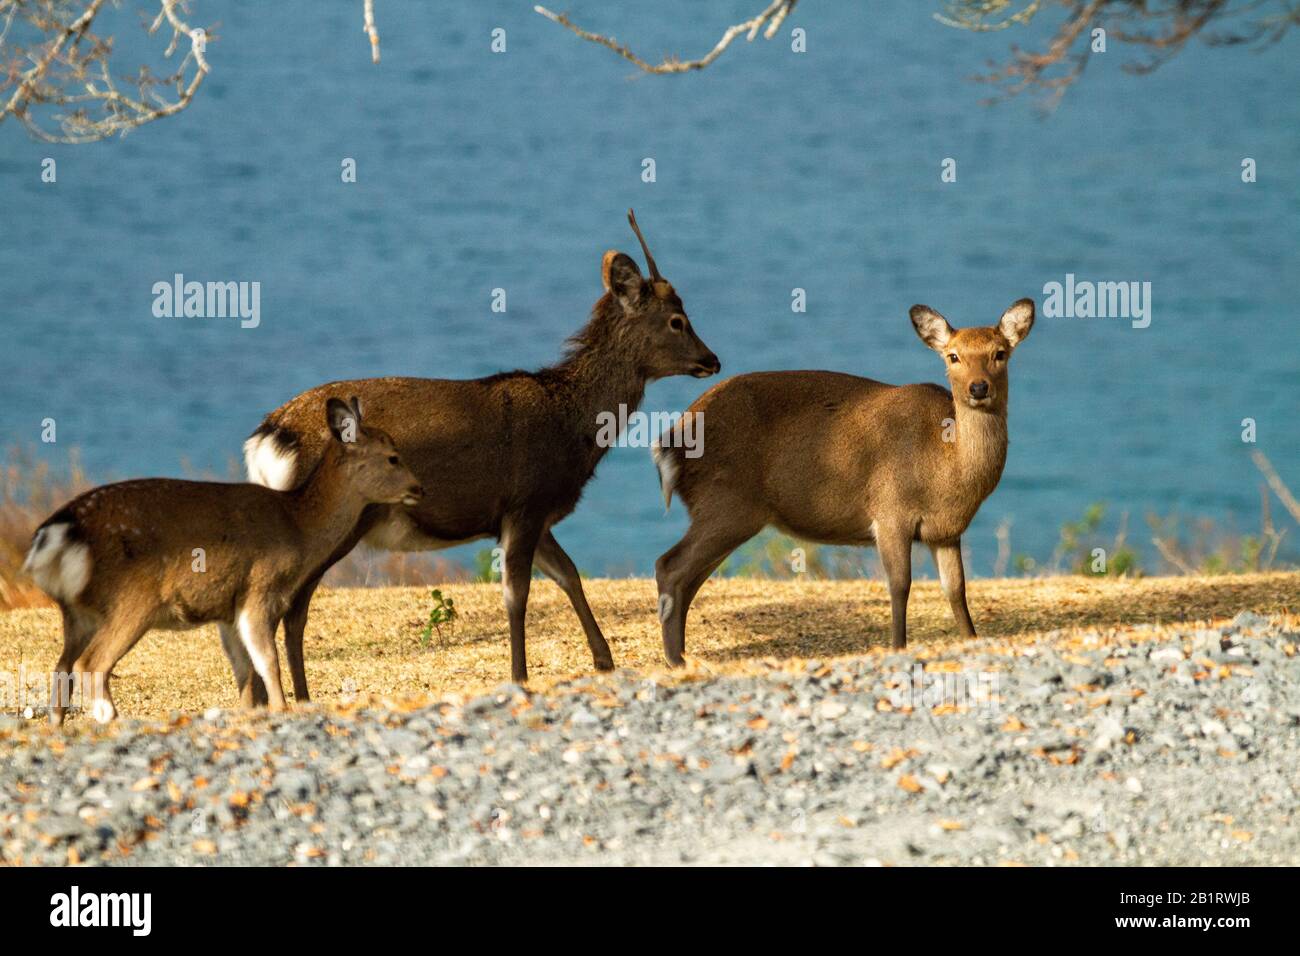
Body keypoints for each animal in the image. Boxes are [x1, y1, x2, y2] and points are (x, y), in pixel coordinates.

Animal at [24, 398, 421, 723]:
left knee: (61, 669)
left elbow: (244, 671)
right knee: (91, 664)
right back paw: (112, 719)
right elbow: (268, 663)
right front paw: (282, 710)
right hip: (131, 600)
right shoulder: (260, 591)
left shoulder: (228, 610)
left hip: (76, 613)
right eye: (393, 457)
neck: (297, 526)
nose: (419, 488)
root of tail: (56, 534)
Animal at [244, 210, 722, 686]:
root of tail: (267, 437)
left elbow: (569, 575)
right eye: (677, 320)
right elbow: (517, 594)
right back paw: (300, 692)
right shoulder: (525, 504)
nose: (712, 359)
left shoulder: (531, 514)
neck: (572, 426)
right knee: (292, 607)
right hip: (334, 521)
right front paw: (519, 674)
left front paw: (603, 659)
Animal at [655, 295, 1040, 660]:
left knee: (690, 578)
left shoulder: (946, 531)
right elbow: (900, 584)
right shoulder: (890, 512)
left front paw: (973, 641)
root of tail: (669, 444)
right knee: (669, 566)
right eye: (953, 356)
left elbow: (956, 589)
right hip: (727, 502)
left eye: (1000, 353)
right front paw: (897, 646)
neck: (947, 472)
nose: (978, 388)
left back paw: (683, 654)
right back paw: (676, 660)